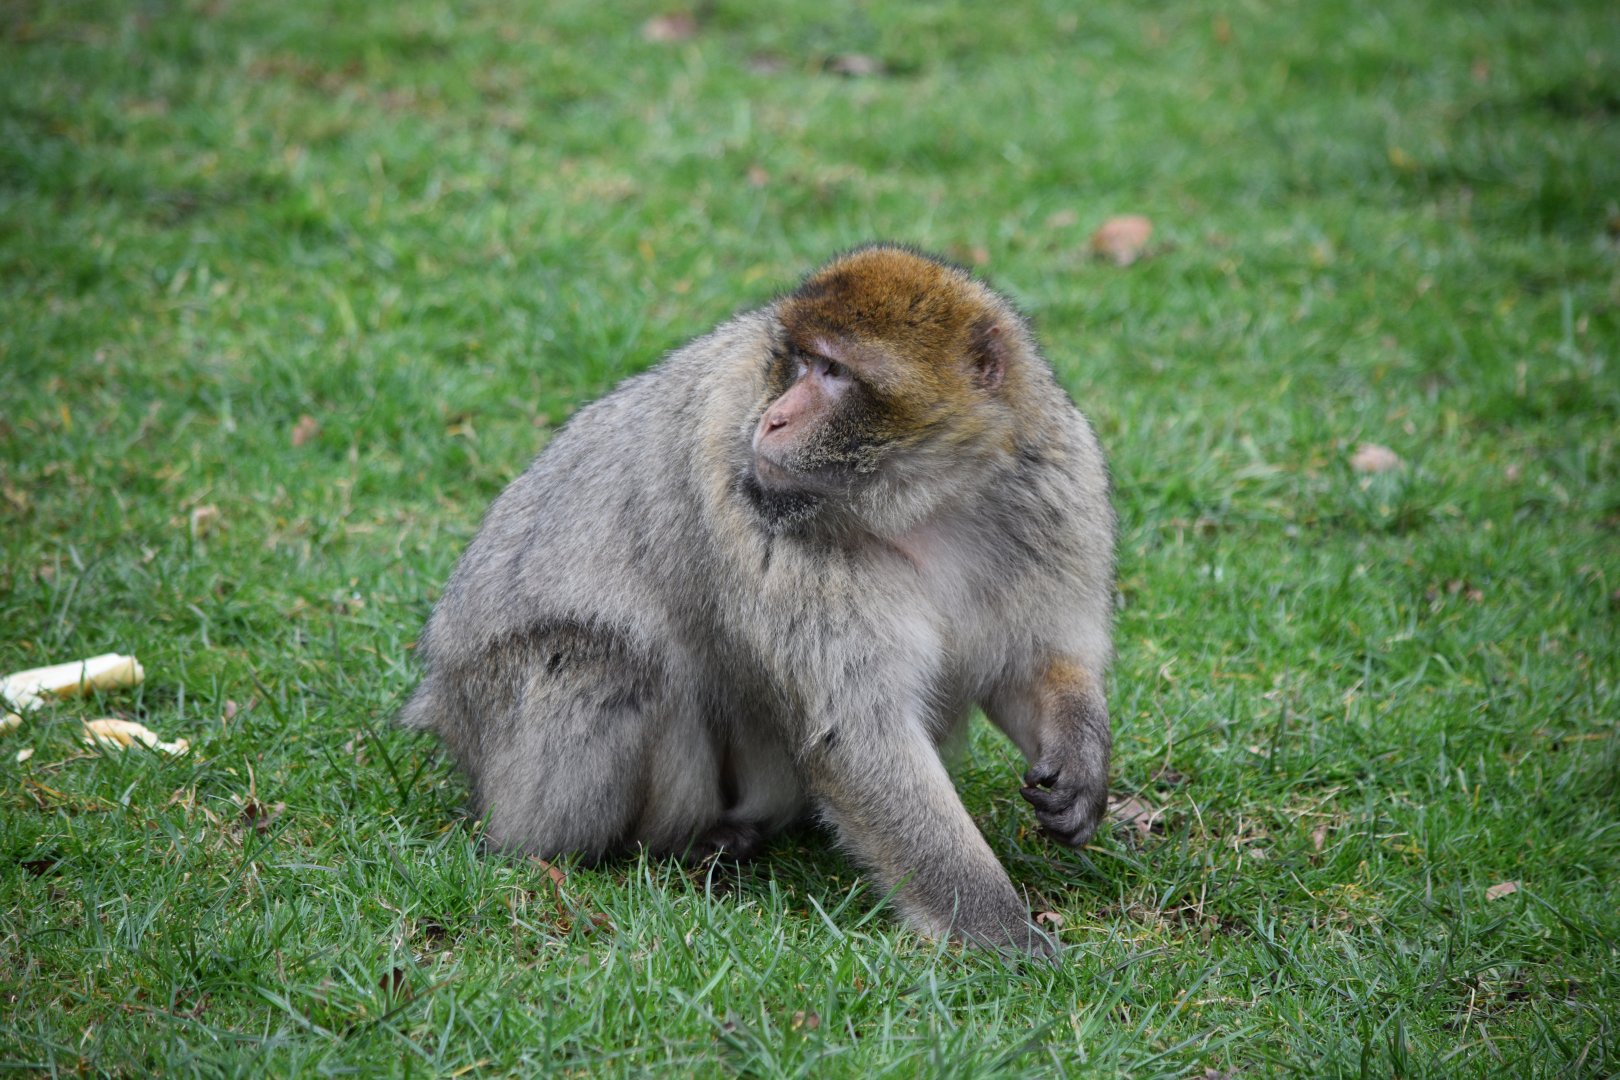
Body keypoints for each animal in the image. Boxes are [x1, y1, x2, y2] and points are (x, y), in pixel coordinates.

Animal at [398, 245, 1115, 958]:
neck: (923, 505)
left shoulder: (1053, 486)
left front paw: (1081, 752)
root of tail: (445, 706)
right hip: (504, 734)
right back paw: (663, 844)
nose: (773, 418)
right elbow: (859, 736)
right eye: (799, 362)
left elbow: (1028, 666)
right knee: (611, 666)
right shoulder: (761, 522)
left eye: (834, 370)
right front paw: (1001, 934)